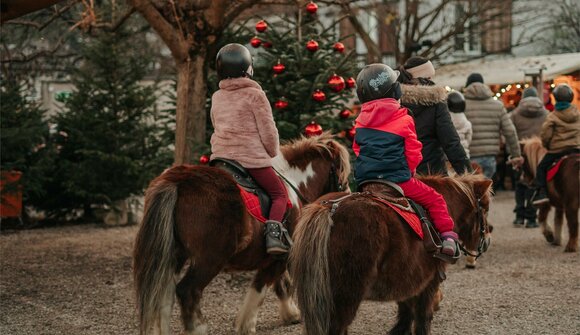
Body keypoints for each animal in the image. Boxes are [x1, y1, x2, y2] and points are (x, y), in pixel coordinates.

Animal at [133, 134, 348, 335]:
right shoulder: (280, 257)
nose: (345, 196)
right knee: (187, 291)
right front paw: (246, 324)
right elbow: (261, 287)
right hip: (209, 258)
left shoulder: (274, 257)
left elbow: (280, 283)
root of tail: (176, 181)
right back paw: (198, 327)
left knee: (164, 294)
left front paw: (290, 313)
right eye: (341, 172)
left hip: (173, 254)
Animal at [290, 175, 494, 335]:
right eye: (484, 208)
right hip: (344, 299)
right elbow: (422, 317)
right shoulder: (428, 282)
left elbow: (405, 313)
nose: (486, 241)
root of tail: (329, 209)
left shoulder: (408, 280)